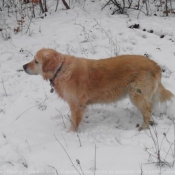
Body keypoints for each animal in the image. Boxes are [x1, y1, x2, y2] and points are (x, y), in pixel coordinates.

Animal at [22, 47, 174, 131]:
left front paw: (71, 133)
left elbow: (74, 123)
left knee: (148, 112)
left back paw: (143, 127)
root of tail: (155, 64)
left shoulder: (76, 105)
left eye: (36, 61)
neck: (61, 69)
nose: (23, 66)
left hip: (136, 94)